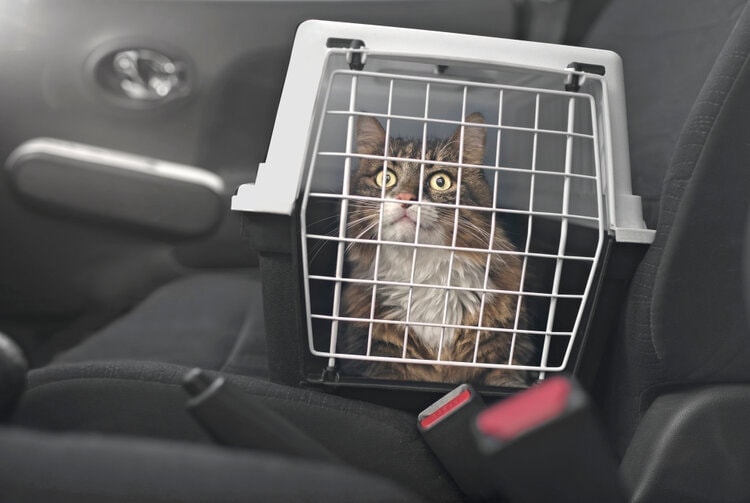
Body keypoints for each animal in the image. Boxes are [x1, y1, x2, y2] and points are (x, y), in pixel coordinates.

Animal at [338, 113, 536, 390]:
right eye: (385, 177)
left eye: (440, 181)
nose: (405, 197)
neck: (422, 271)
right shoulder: (378, 361)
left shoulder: (507, 356)